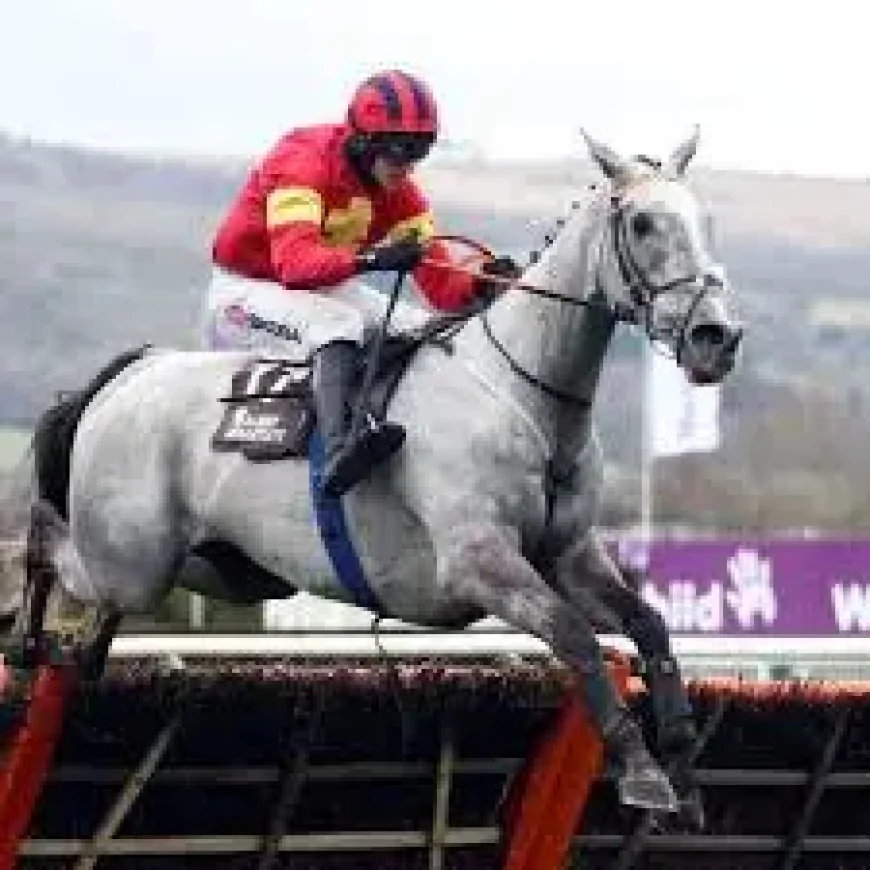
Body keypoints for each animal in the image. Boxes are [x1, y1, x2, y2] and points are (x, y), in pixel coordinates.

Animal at [3, 127, 741, 822]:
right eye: (643, 223)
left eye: (706, 219)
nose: (717, 338)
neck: (519, 395)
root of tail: (132, 370)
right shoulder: (479, 562)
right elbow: (576, 637)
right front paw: (642, 772)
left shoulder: (569, 555)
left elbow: (649, 625)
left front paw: (682, 765)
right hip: (135, 558)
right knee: (49, 540)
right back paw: (26, 639)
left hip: (226, 567)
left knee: (103, 595)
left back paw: (85, 651)